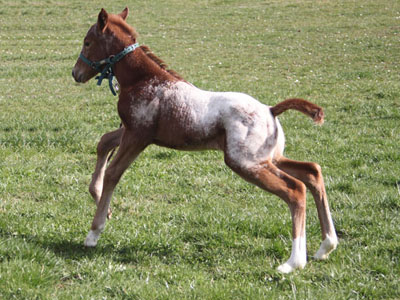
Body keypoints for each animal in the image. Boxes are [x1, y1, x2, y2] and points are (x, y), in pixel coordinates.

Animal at [72, 7, 338, 274]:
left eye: (87, 42)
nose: (76, 73)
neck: (144, 82)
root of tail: (270, 110)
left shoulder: (137, 136)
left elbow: (114, 172)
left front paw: (94, 233)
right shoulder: (131, 131)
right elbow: (104, 142)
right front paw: (99, 200)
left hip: (245, 162)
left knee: (295, 189)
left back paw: (294, 262)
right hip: (270, 158)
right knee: (312, 172)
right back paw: (326, 246)